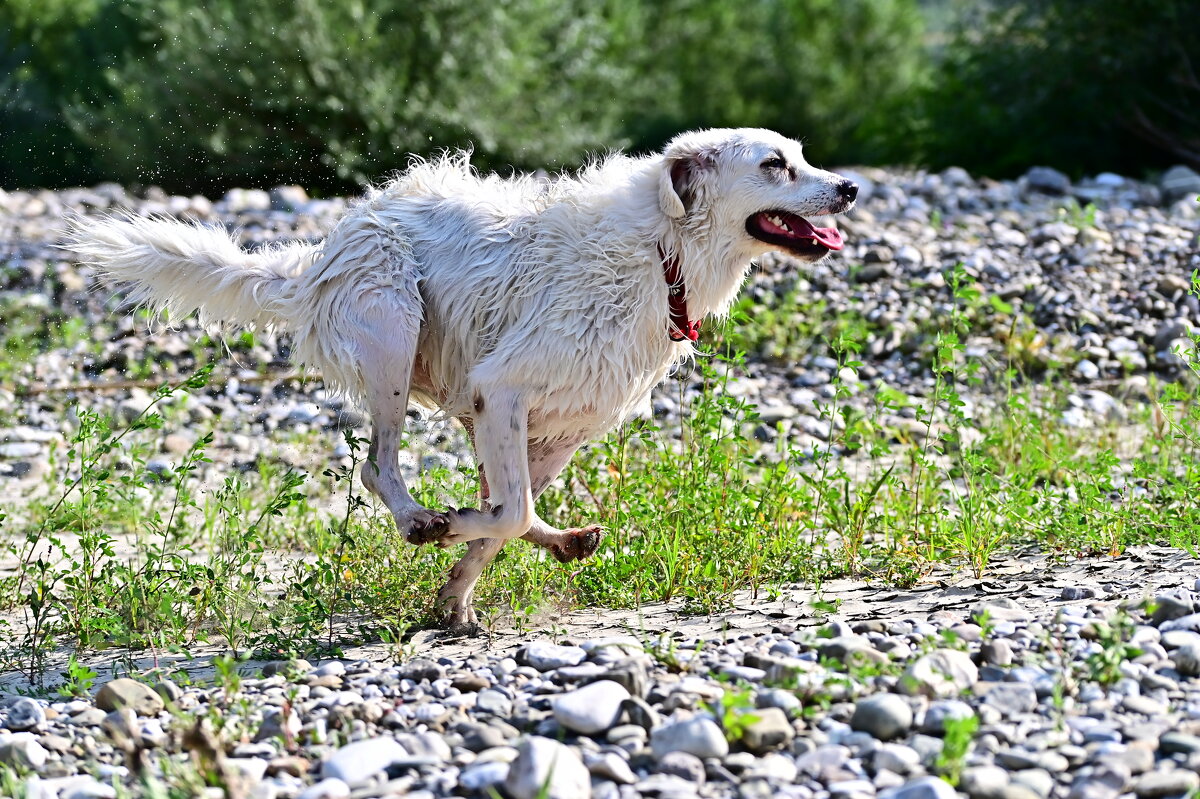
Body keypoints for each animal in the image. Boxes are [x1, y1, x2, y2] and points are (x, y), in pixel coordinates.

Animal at [68, 127, 854, 623]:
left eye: (802, 156)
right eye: (774, 164)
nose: (849, 187)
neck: (662, 251)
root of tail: (323, 253)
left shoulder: (557, 427)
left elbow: (511, 516)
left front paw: (457, 598)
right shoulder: (500, 390)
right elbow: (505, 513)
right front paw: (448, 536)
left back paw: (538, 542)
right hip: (392, 329)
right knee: (377, 467)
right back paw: (422, 519)